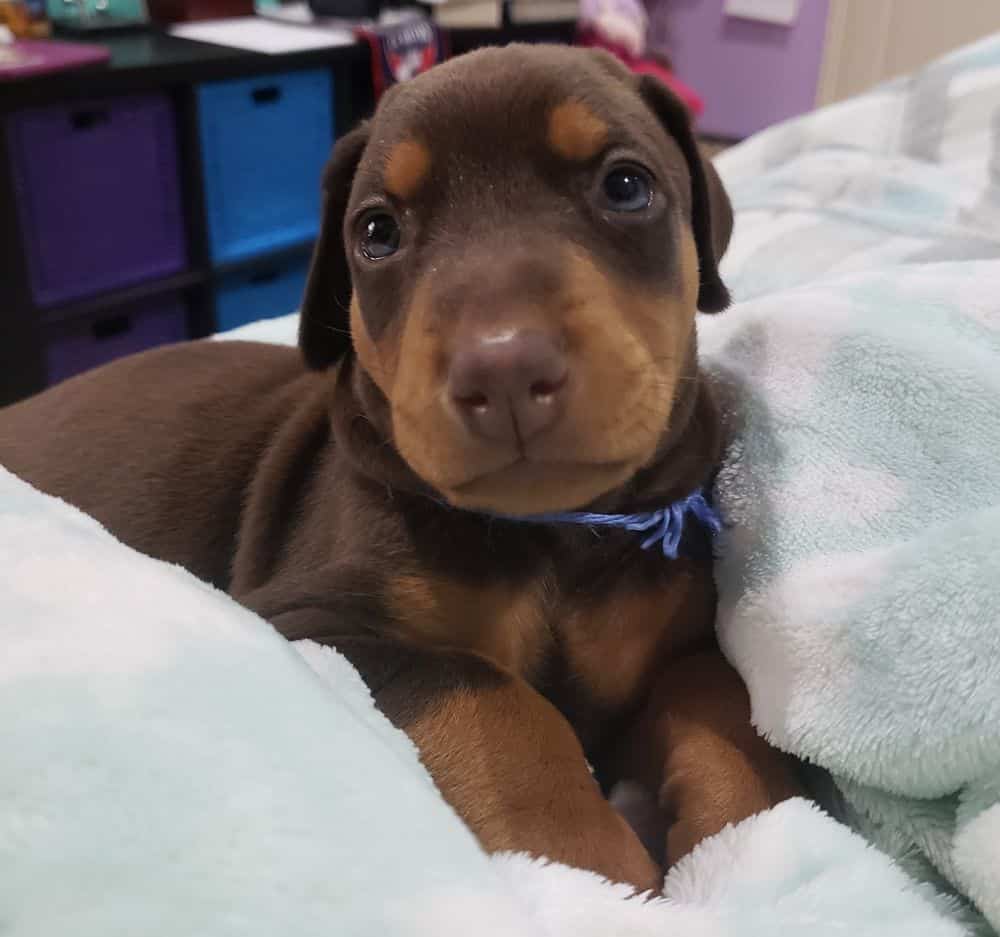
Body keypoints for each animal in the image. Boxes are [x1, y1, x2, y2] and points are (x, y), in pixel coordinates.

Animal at [0, 45, 800, 892]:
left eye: (625, 185)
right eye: (377, 231)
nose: (504, 371)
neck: (550, 534)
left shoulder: (673, 641)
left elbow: (721, 704)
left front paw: (748, 844)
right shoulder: (305, 620)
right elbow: (491, 693)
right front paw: (592, 867)